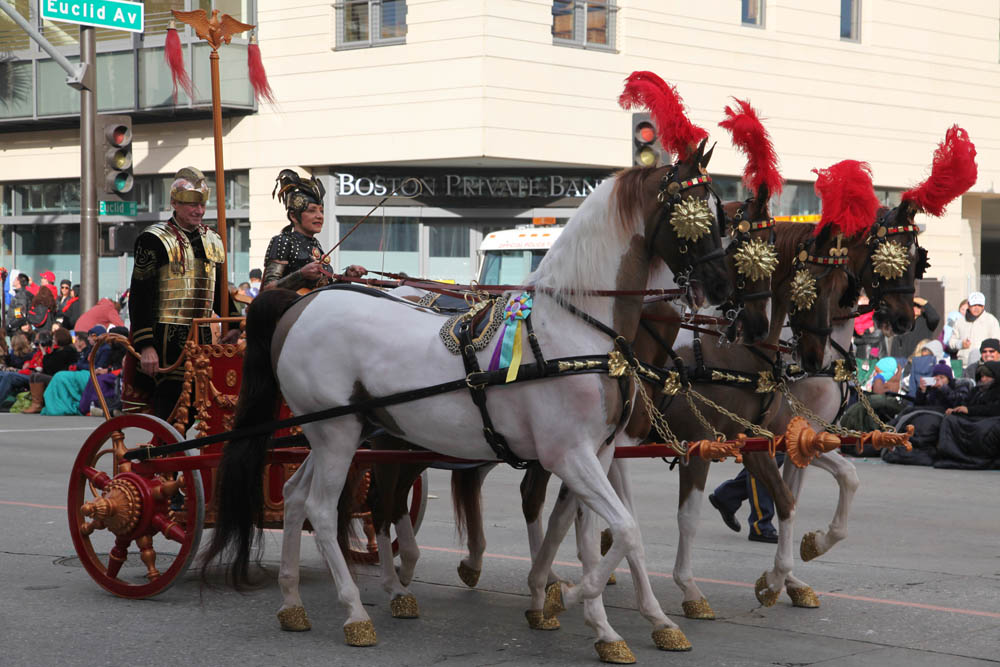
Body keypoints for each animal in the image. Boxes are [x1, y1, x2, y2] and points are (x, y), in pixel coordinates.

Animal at [201, 142, 736, 664]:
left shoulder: (599, 454)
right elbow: (623, 530)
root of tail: (301, 304)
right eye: (693, 214)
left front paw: (608, 626)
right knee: (322, 508)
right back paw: (355, 614)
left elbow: (593, 535)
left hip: (339, 432)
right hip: (337, 435)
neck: (576, 329)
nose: (724, 289)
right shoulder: (569, 456)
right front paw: (566, 594)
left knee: (294, 496)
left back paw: (292, 603)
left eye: (720, 213)